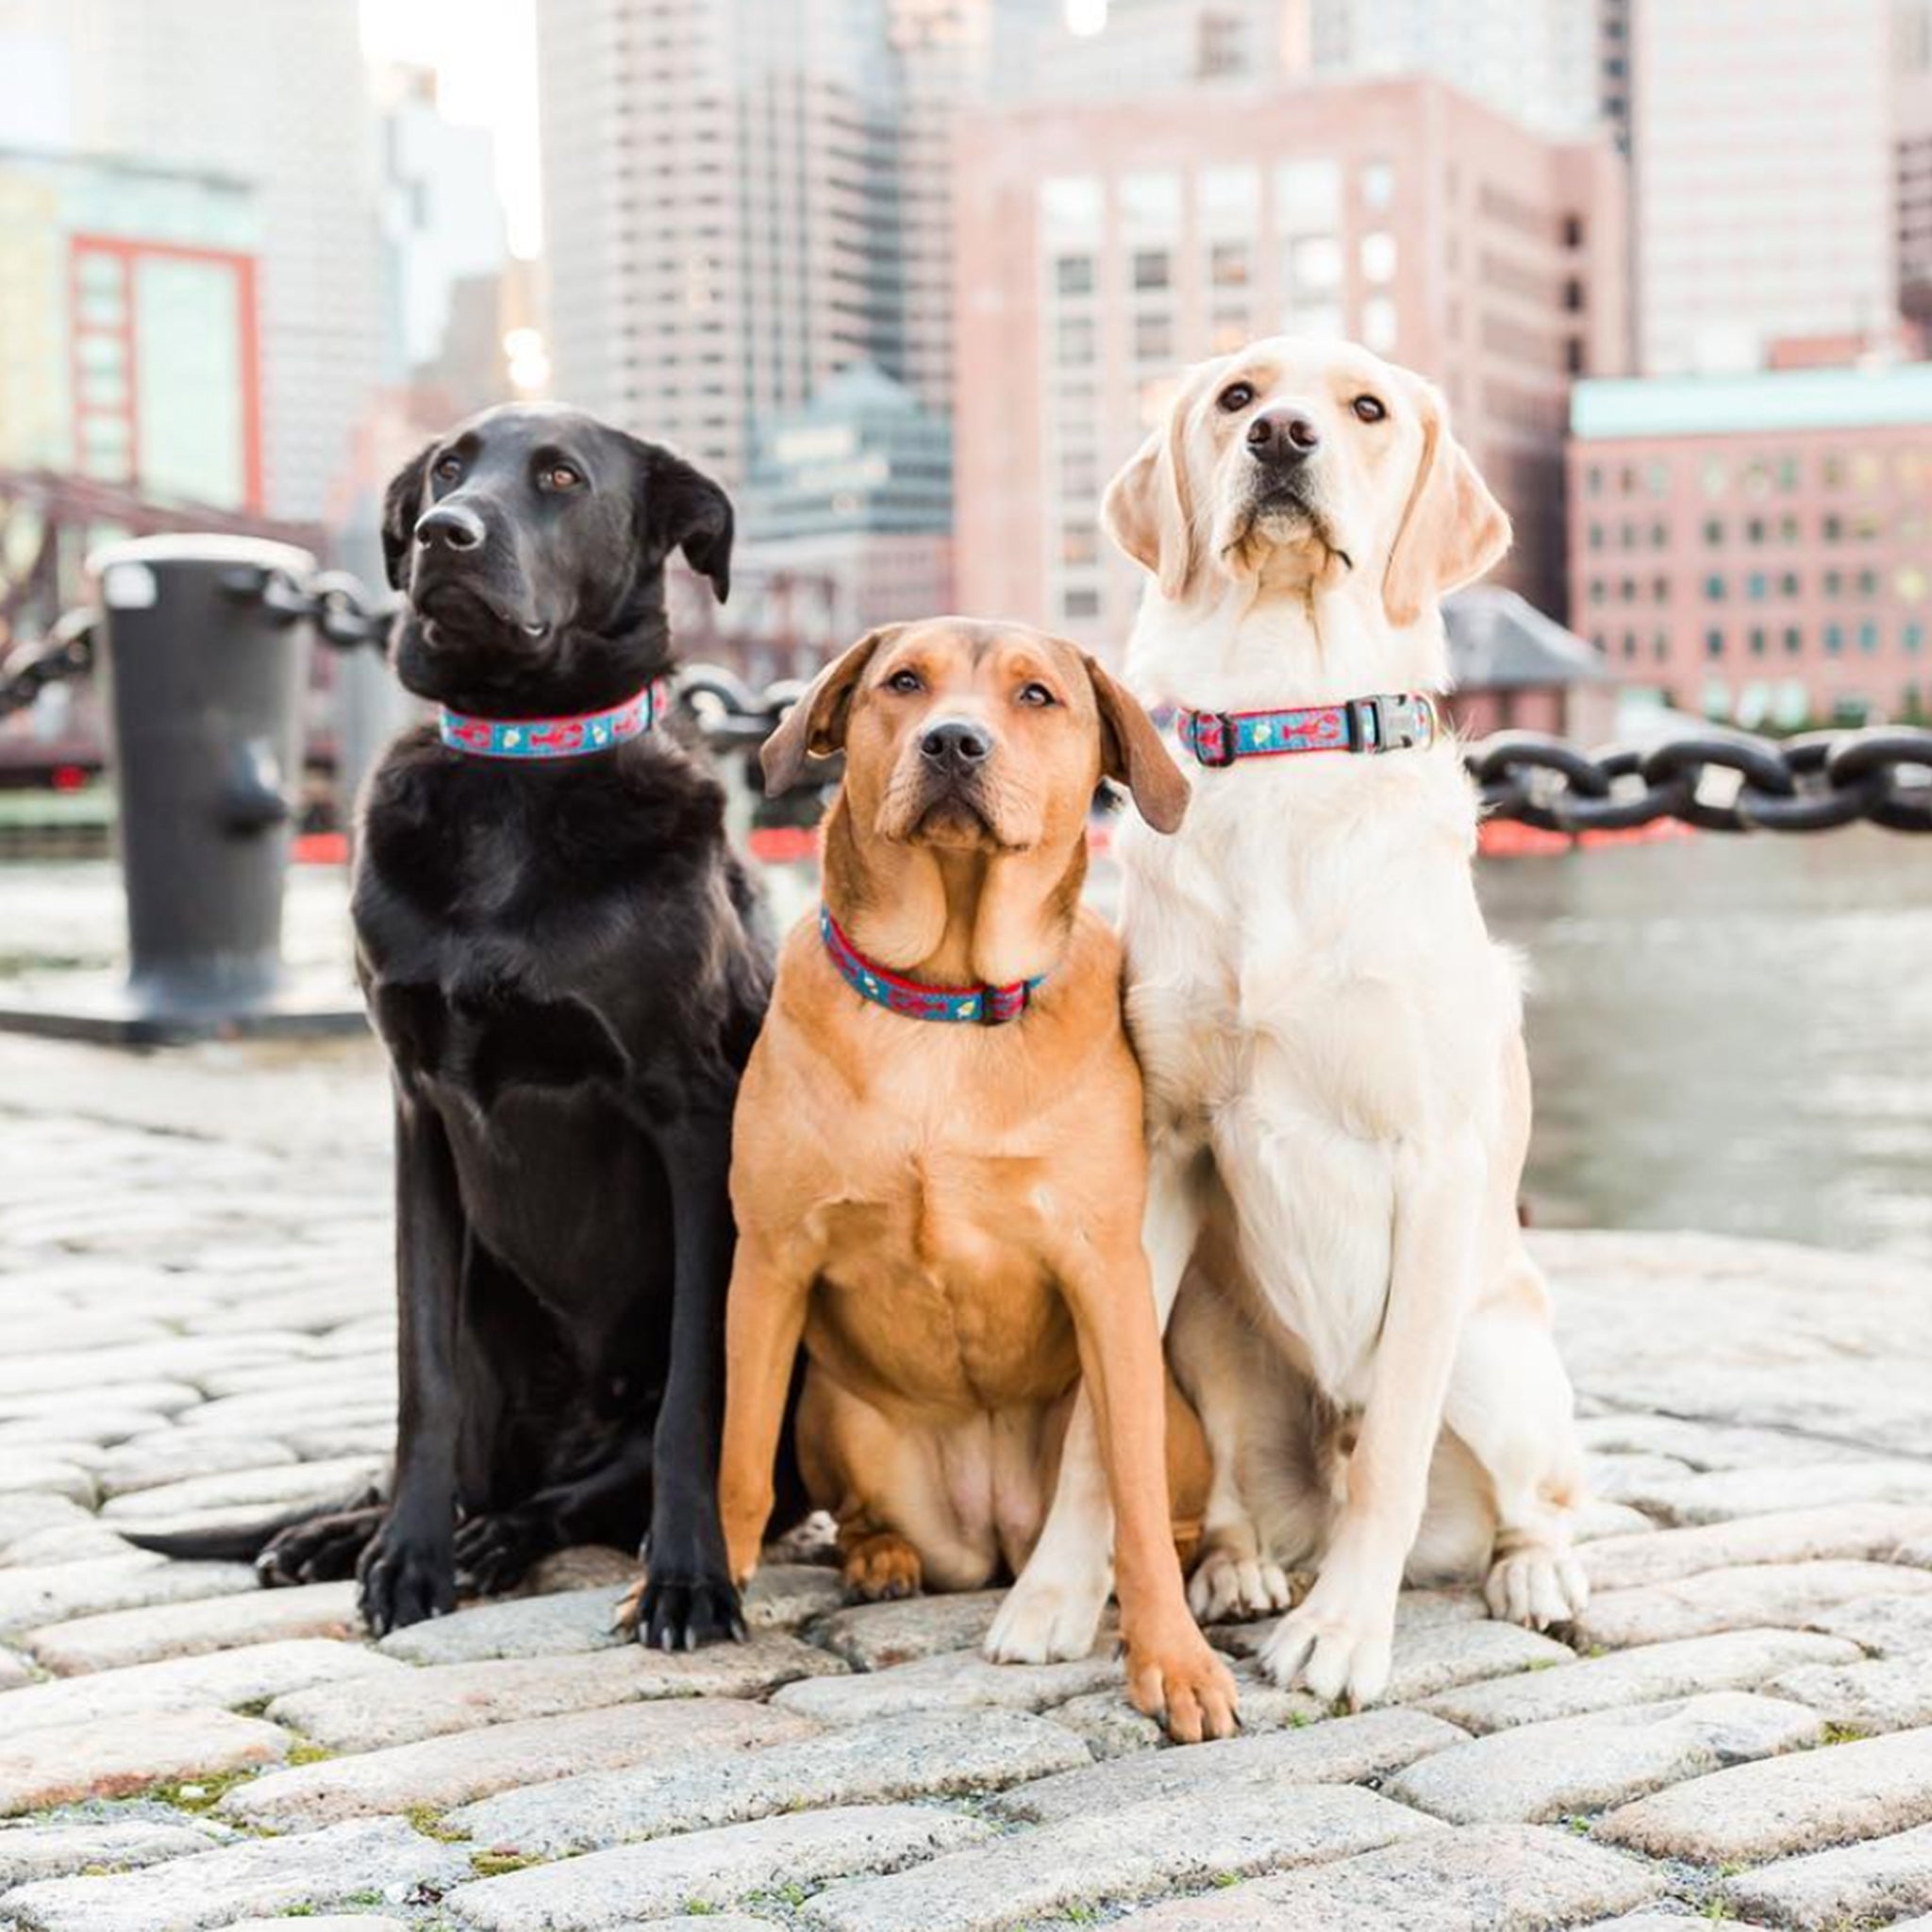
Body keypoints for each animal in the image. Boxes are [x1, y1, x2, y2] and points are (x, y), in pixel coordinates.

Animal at [136, 408, 784, 1645]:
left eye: (560, 477)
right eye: (446, 468)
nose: (444, 531)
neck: (516, 773)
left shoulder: (693, 1114)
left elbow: (694, 1391)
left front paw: (688, 1577)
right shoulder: (417, 1109)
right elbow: (417, 1375)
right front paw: (405, 1558)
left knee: (583, 1490)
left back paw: (504, 1538)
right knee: (471, 1465)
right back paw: (348, 1531)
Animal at [722, 622, 1236, 1754]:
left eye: (1036, 695)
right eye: (901, 683)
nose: (953, 741)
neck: (946, 1001)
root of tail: (995, 1530)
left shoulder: (1106, 1274)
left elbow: (1131, 1506)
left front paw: (1170, 1660)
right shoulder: (767, 1263)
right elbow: (735, 1454)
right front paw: (690, 1592)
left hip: (1161, 1403)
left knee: (1175, 1517)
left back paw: (1230, 1567)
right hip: (835, 1410)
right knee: (863, 1509)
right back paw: (877, 1555)